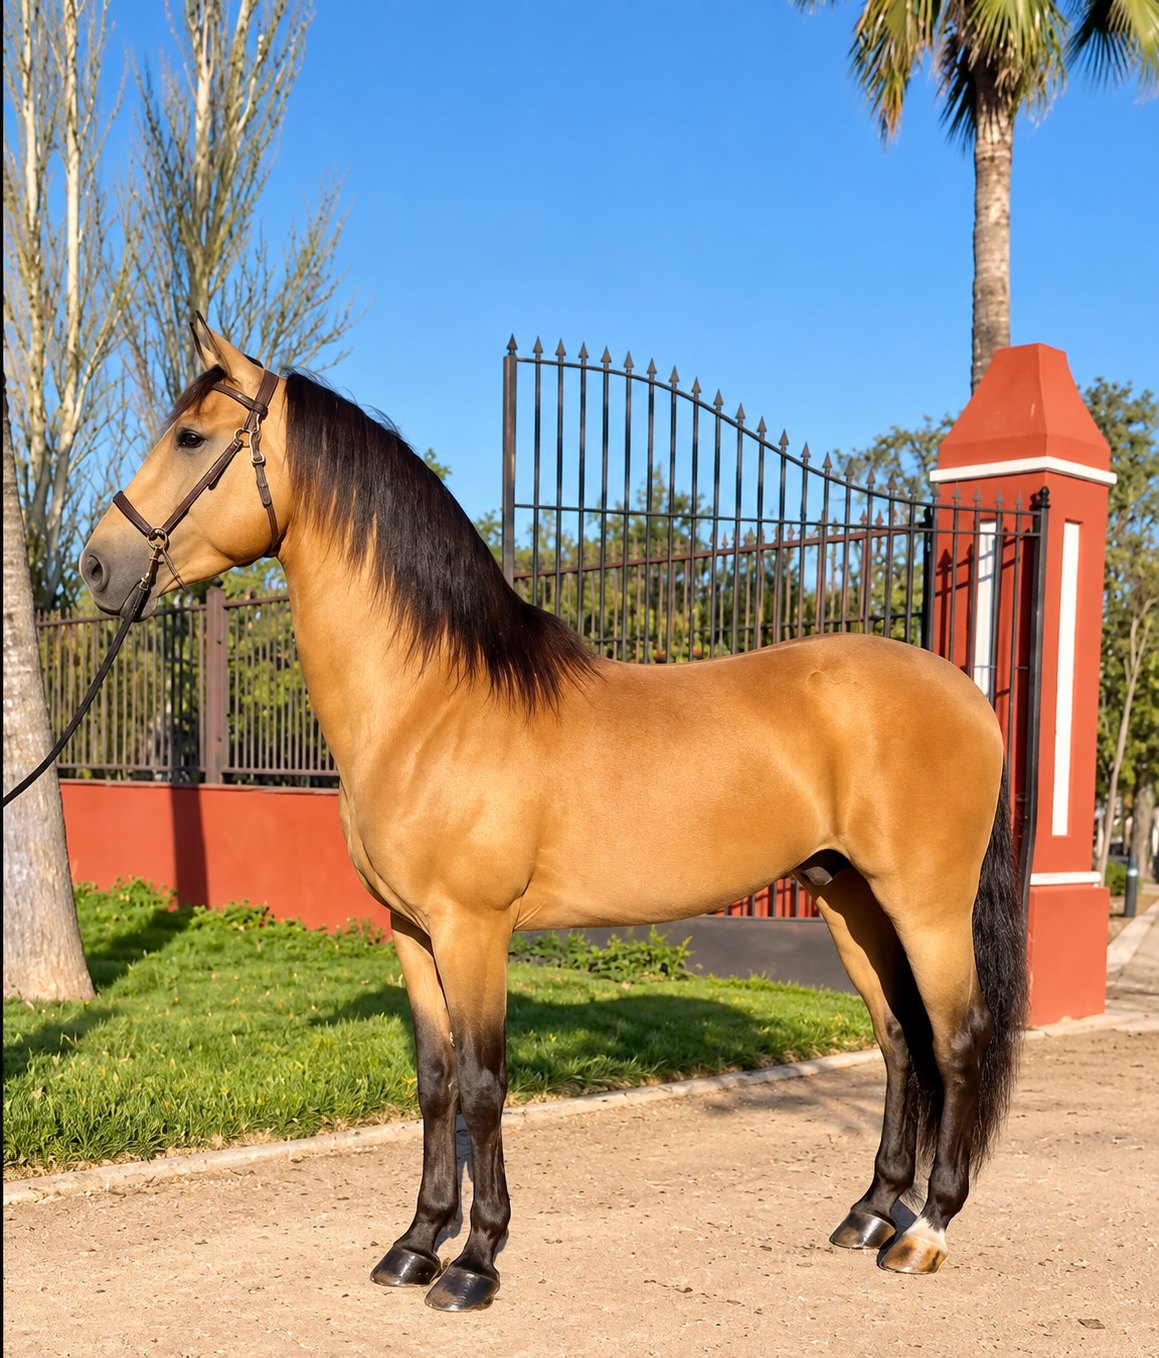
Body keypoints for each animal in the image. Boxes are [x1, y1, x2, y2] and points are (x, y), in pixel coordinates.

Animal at [80, 318, 1027, 1312]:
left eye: (191, 438)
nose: (98, 565)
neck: (434, 704)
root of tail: (964, 692)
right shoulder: (410, 932)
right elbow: (433, 1083)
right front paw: (414, 1244)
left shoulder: (474, 930)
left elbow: (482, 1086)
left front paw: (473, 1263)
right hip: (849, 902)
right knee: (898, 1042)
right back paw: (868, 1215)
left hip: (924, 905)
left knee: (957, 1042)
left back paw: (923, 1231)